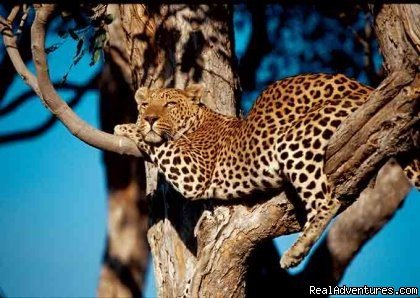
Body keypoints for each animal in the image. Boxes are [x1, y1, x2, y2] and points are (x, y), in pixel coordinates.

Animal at [114, 73, 420, 268]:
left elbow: (161, 144)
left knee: (326, 202)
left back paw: (297, 251)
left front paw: (128, 128)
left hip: (294, 141)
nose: (149, 118)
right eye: (145, 104)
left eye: (170, 104)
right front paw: (133, 125)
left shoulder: (194, 172)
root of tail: (364, 87)